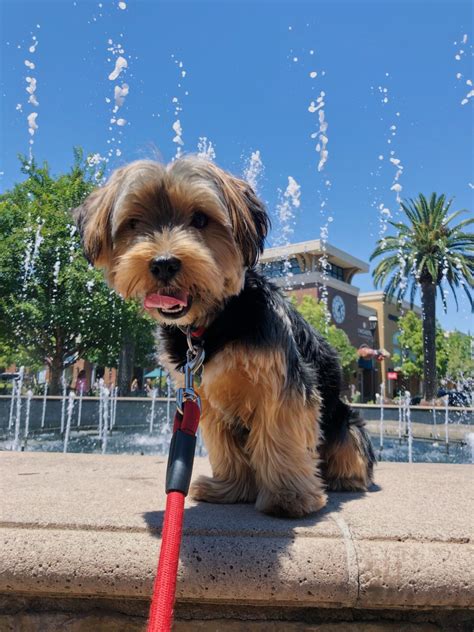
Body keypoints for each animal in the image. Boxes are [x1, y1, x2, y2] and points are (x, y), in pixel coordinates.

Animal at [74, 156, 376, 516]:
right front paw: (231, 488)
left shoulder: (280, 386)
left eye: (201, 219)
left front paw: (288, 496)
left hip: (347, 421)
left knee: (350, 448)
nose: (163, 263)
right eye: (133, 223)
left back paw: (343, 479)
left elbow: (281, 438)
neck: (211, 323)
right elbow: (225, 447)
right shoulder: (204, 398)